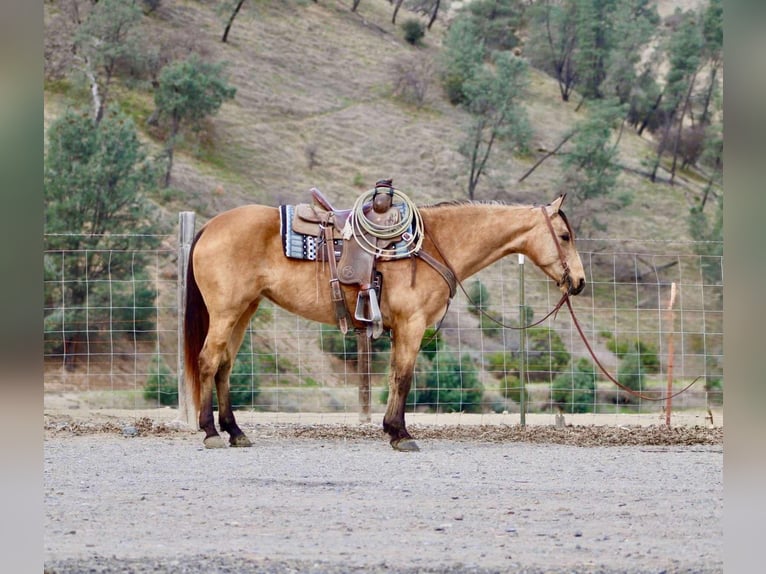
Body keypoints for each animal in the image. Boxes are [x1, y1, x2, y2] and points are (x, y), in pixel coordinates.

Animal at [184, 193, 586, 451]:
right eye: (565, 236)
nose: (579, 282)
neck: (432, 245)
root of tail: (209, 227)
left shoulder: (400, 329)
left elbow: (394, 377)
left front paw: (391, 429)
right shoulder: (412, 325)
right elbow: (404, 378)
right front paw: (401, 435)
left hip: (244, 311)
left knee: (224, 366)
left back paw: (235, 432)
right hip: (226, 312)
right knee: (208, 362)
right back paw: (211, 432)